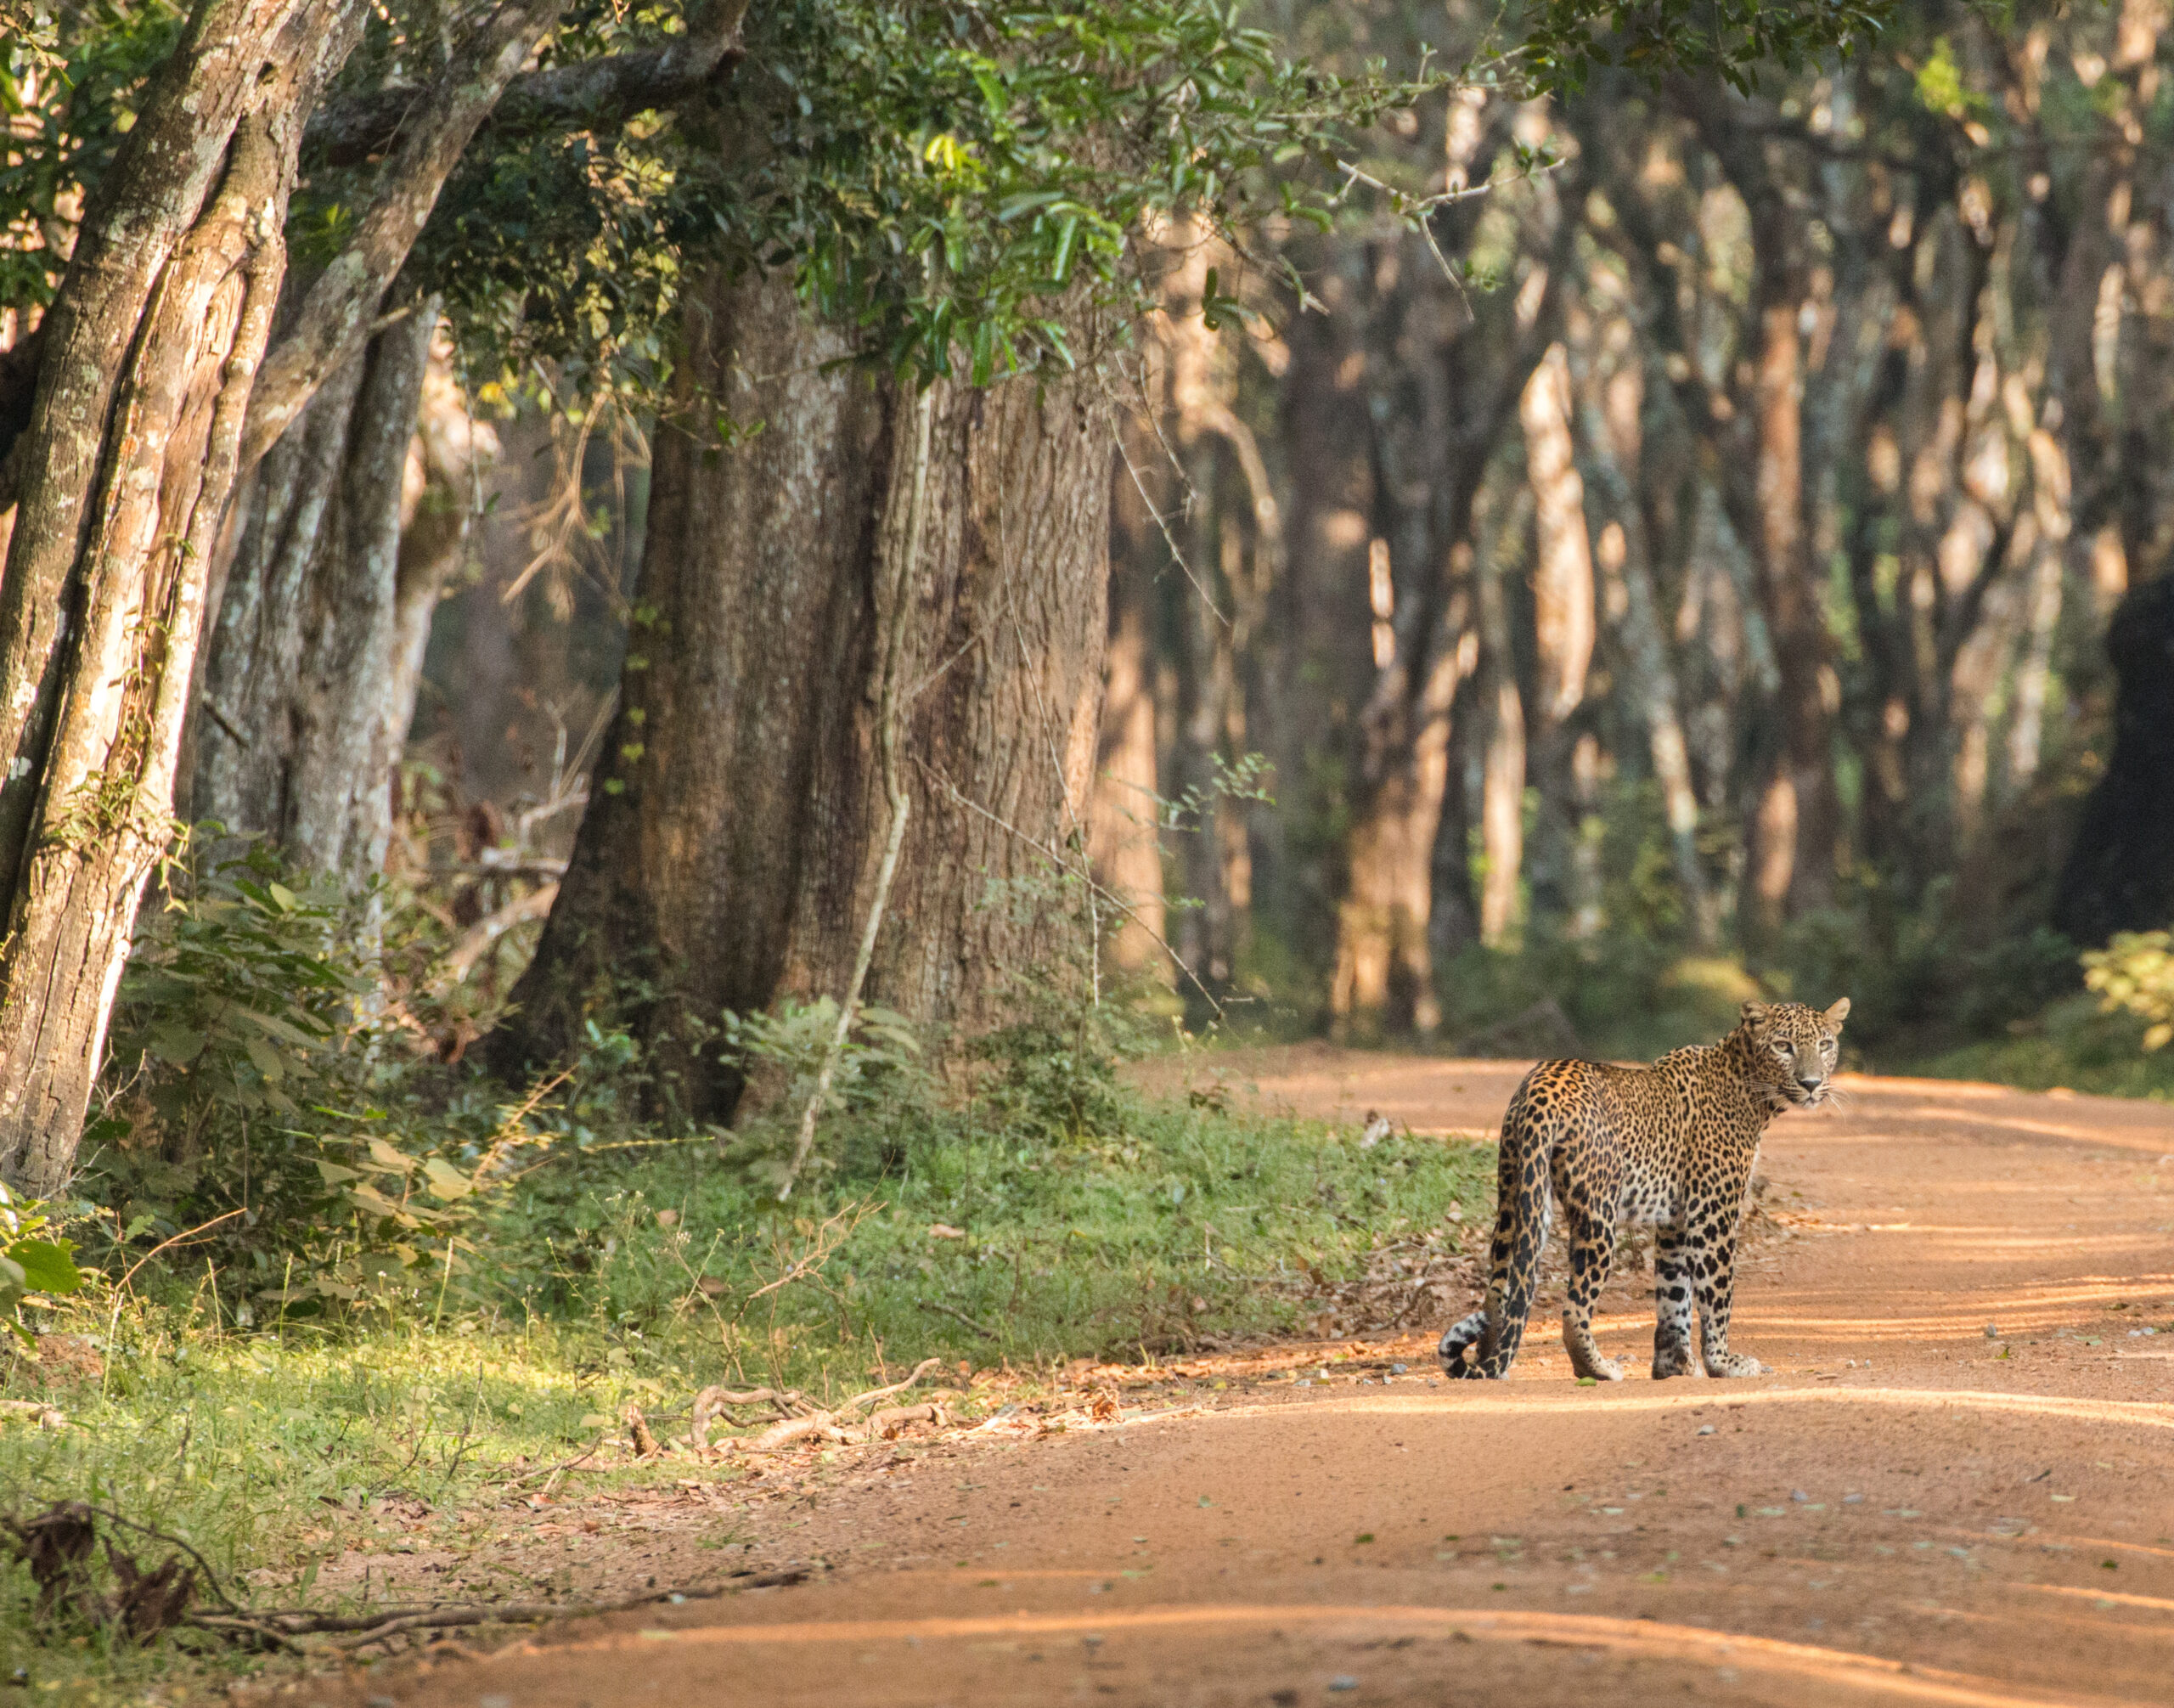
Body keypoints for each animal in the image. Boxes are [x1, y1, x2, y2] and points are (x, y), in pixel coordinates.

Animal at [1434, 990, 1843, 1373]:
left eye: (1825, 1044)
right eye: (1783, 1046)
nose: (1811, 1083)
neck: (1749, 1087)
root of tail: (1542, 1085)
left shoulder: (1676, 1219)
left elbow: (1674, 1293)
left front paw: (1674, 1365)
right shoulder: (1712, 1213)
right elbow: (1717, 1293)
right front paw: (1723, 1363)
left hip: (1516, 1191)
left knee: (1499, 1289)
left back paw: (1491, 1362)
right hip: (1597, 1214)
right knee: (1574, 1307)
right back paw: (1597, 1368)